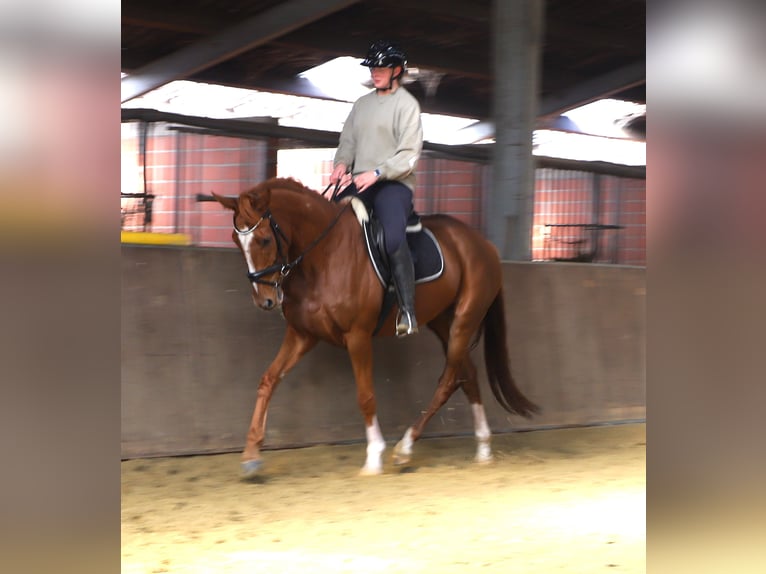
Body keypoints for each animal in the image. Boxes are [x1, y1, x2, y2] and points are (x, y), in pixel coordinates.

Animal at [213, 177, 539, 478]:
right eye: (235, 240)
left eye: (265, 240)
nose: (265, 300)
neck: (326, 255)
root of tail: (484, 245)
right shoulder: (303, 334)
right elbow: (268, 380)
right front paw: (251, 455)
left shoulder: (357, 336)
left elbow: (365, 396)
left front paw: (373, 457)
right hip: (442, 322)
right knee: (467, 374)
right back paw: (483, 448)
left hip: (464, 318)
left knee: (448, 380)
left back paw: (405, 448)